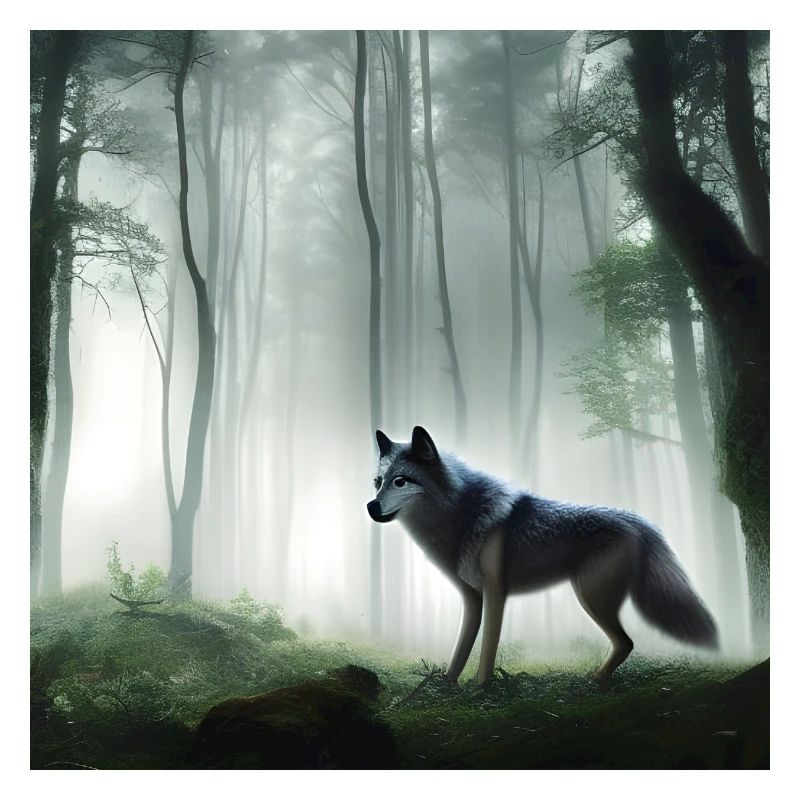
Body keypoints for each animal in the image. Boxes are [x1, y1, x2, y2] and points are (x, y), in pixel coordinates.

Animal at [366, 426, 718, 685]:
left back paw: (595, 681)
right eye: (378, 482)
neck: (460, 514)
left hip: (590, 596)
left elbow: (487, 647)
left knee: (626, 642)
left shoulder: (496, 593)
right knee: (624, 643)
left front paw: (481, 688)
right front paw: (448, 686)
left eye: (401, 481)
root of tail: (640, 521)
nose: (370, 506)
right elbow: (461, 647)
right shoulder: (472, 598)